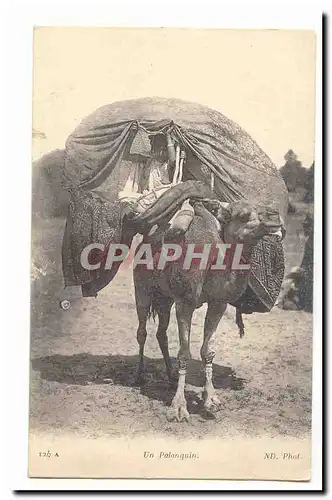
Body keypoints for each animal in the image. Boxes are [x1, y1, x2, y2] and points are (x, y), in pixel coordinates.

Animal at [132, 199, 282, 422]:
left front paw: (211, 399)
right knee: (142, 331)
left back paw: (171, 376)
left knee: (161, 333)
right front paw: (178, 408)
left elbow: (208, 351)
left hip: (165, 298)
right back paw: (139, 376)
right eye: (244, 215)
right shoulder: (185, 302)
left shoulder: (218, 303)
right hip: (141, 287)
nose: (275, 216)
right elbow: (184, 354)